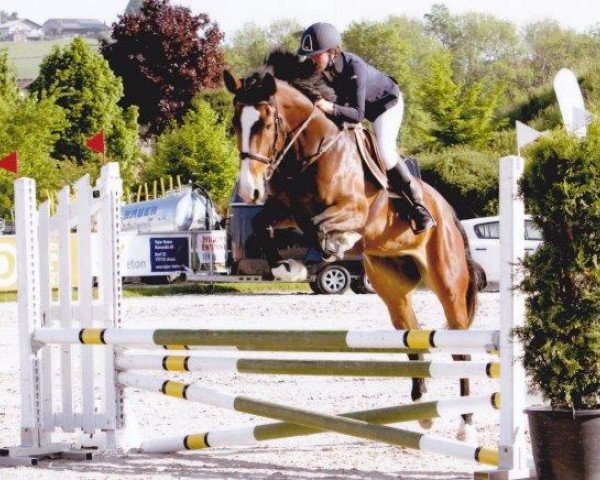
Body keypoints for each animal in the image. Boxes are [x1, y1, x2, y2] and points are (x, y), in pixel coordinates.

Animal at [223, 51, 486, 438]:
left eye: (266, 124)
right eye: (235, 124)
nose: (248, 191)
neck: (311, 151)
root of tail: (450, 216)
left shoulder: (353, 211)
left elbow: (319, 228)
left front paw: (326, 250)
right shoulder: (284, 210)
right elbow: (262, 226)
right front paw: (286, 267)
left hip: (447, 280)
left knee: (460, 343)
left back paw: (466, 423)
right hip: (391, 286)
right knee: (414, 334)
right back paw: (423, 408)